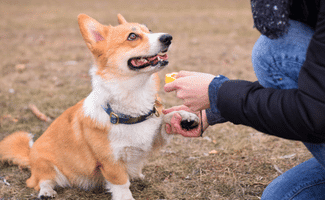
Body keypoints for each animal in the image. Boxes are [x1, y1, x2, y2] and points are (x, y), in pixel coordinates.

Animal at [0, 14, 197, 200]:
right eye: (132, 36)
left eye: (149, 30)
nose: (168, 38)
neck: (135, 95)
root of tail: (30, 153)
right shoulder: (111, 162)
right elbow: (121, 184)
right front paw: (126, 196)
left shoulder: (151, 139)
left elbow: (165, 119)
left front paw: (184, 116)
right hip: (47, 165)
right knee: (41, 181)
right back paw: (46, 191)